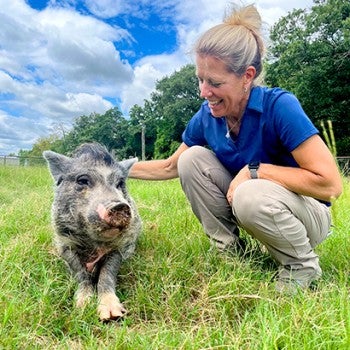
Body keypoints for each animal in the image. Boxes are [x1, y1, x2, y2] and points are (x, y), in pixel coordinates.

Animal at [43, 142, 142, 320]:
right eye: (82, 180)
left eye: (120, 183)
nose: (119, 205)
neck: (93, 243)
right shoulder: (64, 245)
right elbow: (80, 274)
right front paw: (81, 308)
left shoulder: (120, 247)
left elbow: (107, 273)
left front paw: (112, 315)